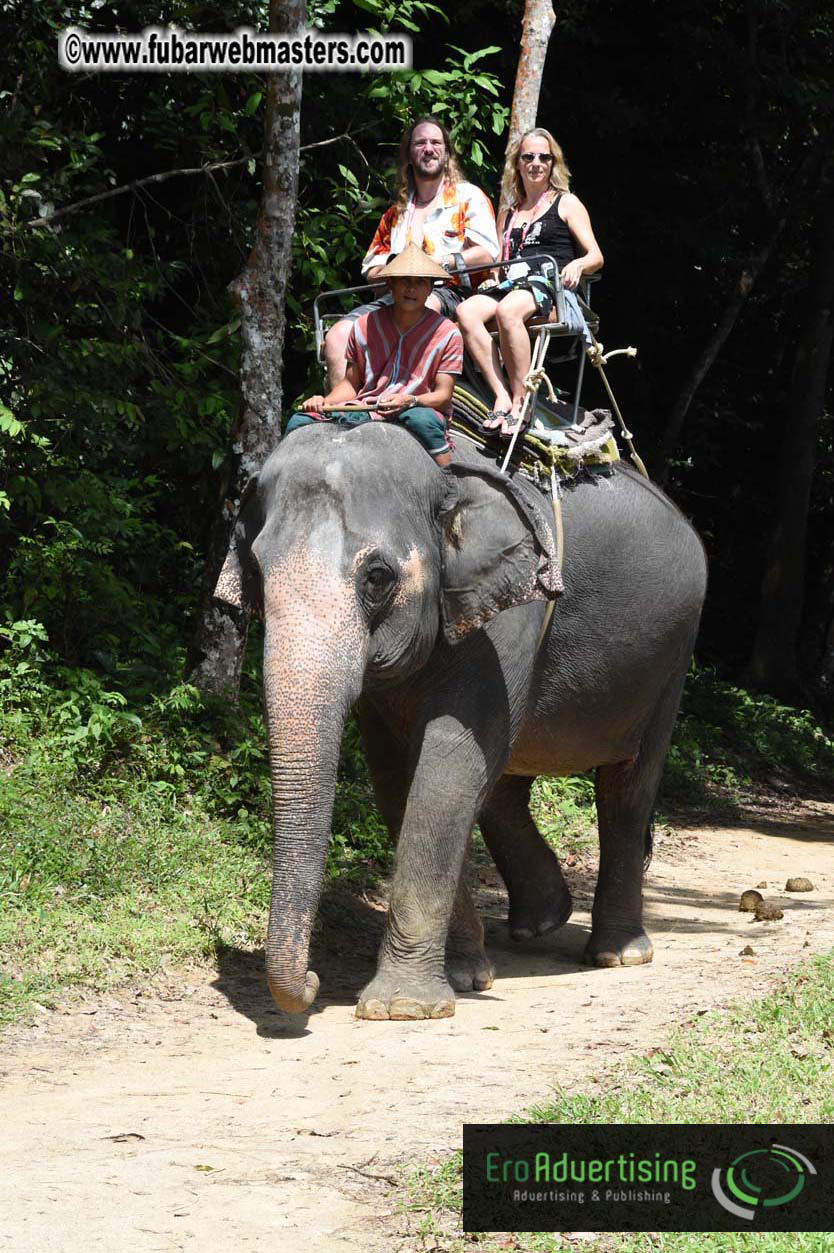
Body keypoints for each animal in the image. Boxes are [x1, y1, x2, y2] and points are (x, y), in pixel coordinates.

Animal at [215, 419, 707, 1020]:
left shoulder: (508, 613)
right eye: (257, 572)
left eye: (376, 578)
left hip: (672, 656)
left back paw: (619, 954)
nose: (309, 981)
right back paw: (540, 921)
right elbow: (397, 779)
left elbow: (447, 765)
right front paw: (464, 976)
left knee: (627, 788)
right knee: (505, 782)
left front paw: (401, 1008)